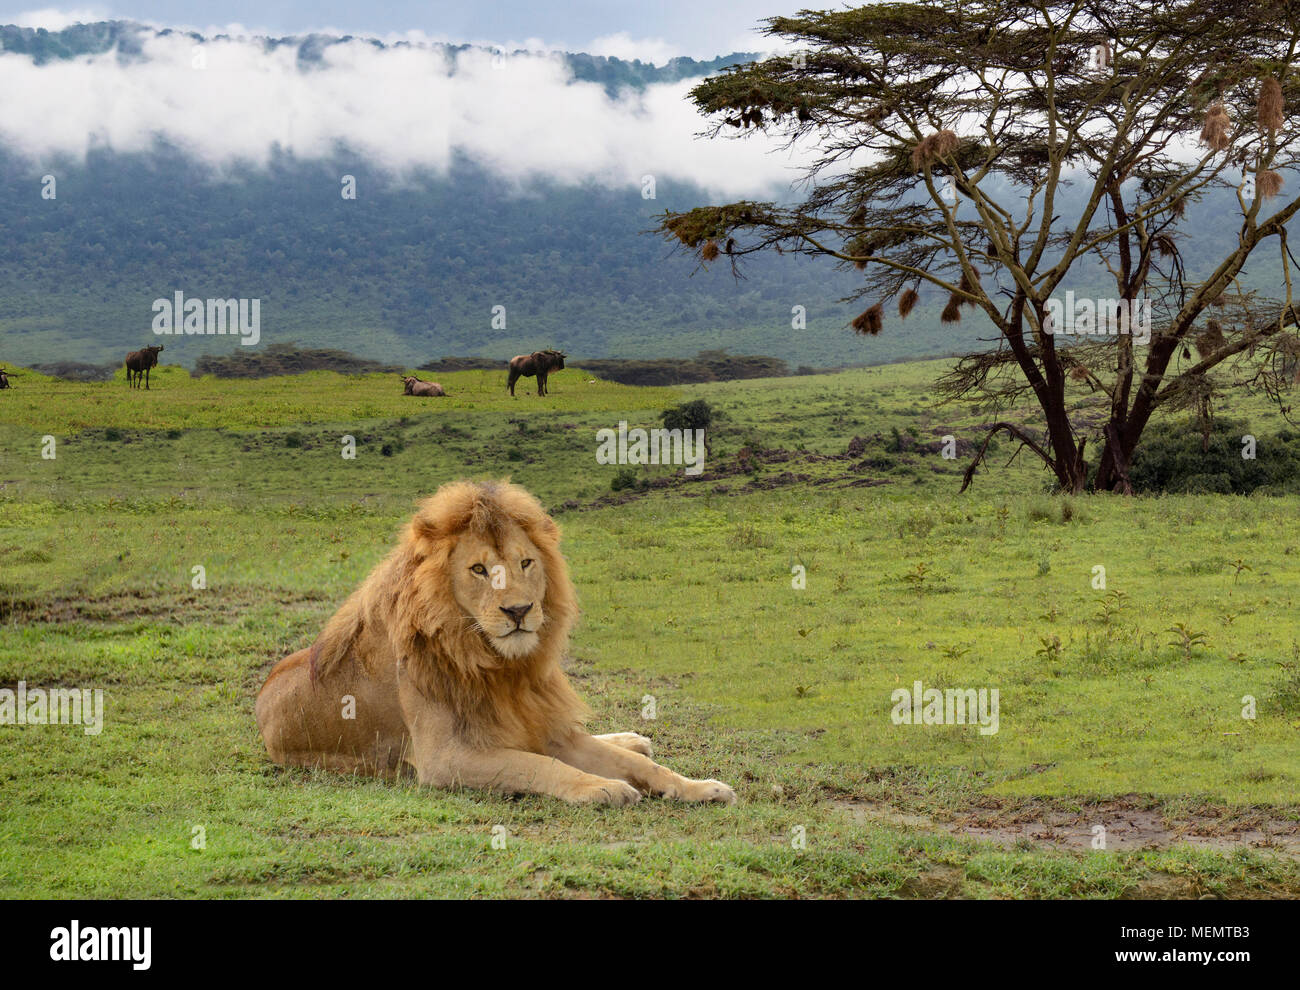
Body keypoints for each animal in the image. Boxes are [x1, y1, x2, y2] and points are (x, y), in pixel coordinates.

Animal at [258, 478, 738, 800]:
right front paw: (604, 788)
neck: (500, 666)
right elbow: (537, 764)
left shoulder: (545, 727)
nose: (519, 611)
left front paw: (701, 788)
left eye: (526, 562)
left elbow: (636, 765)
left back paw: (632, 737)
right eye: (479, 570)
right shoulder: (445, 759)